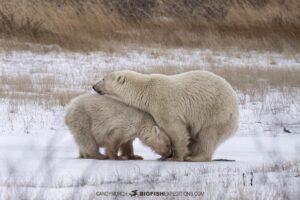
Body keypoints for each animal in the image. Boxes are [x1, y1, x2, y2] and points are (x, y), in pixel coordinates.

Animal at [94, 70, 239, 161]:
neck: (145, 91)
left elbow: (176, 129)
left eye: (103, 78)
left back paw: (195, 157)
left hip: (216, 112)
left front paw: (176, 156)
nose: (94, 86)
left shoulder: (164, 105)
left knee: (207, 136)